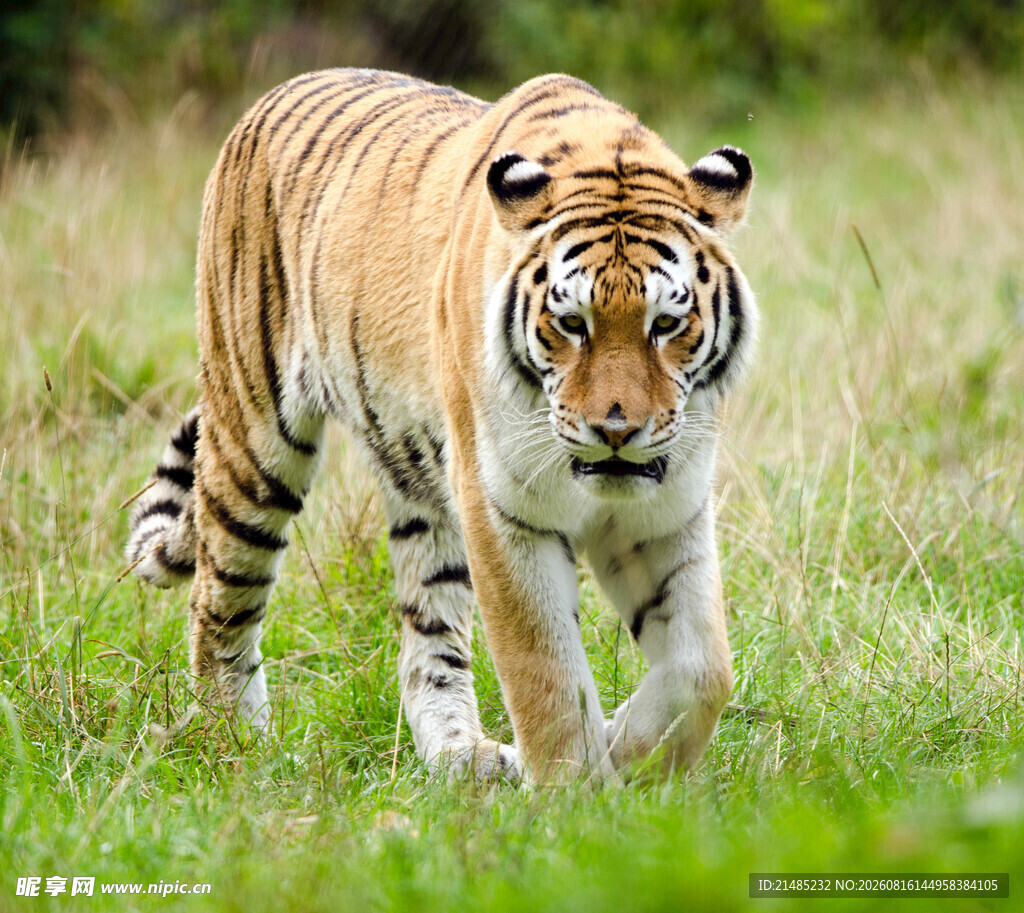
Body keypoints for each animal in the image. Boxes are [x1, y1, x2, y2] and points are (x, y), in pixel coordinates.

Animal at [125, 67, 757, 784]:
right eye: (572, 324)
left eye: (667, 324)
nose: (616, 432)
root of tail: (269, 98)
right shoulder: (502, 512)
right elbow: (546, 675)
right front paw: (577, 793)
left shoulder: (667, 510)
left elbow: (701, 670)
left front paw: (623, 749)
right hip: (255, 447)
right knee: (218, 600)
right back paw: (238, 751)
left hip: (421, 490)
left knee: (425, 643)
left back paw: (463, 757)